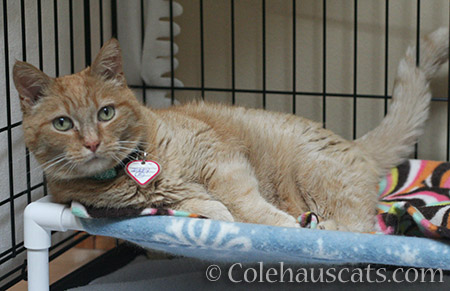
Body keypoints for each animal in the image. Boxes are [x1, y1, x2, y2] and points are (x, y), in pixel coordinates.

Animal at [12, 27, 448, 233]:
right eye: (63, 123)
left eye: (105, 113)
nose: (91, 142)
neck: (135, 171)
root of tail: (354, 144)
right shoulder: (171, 199)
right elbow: (209, 207)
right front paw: (217, 216)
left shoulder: (223, 164)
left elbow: (246, 205)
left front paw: (280, 226)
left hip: (319, 176)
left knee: (360, 227)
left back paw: (318, 227)